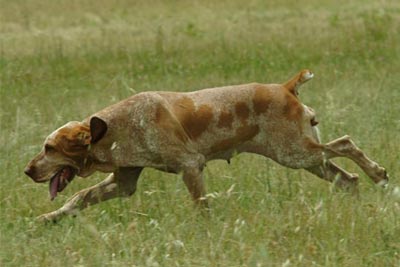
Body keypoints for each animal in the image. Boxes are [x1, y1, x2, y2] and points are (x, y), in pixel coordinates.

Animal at [24, 69, 388, 222]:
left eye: (49, 148)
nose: (27, 171)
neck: (114, 127)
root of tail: (285, 87)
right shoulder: (123, 181)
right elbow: (77, 198)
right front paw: (50, 218)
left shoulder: (190, 166)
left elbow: (201, 207)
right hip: (305, 157)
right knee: (347, 178)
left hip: (295, 153)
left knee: (346, 144)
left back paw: (378, 173)